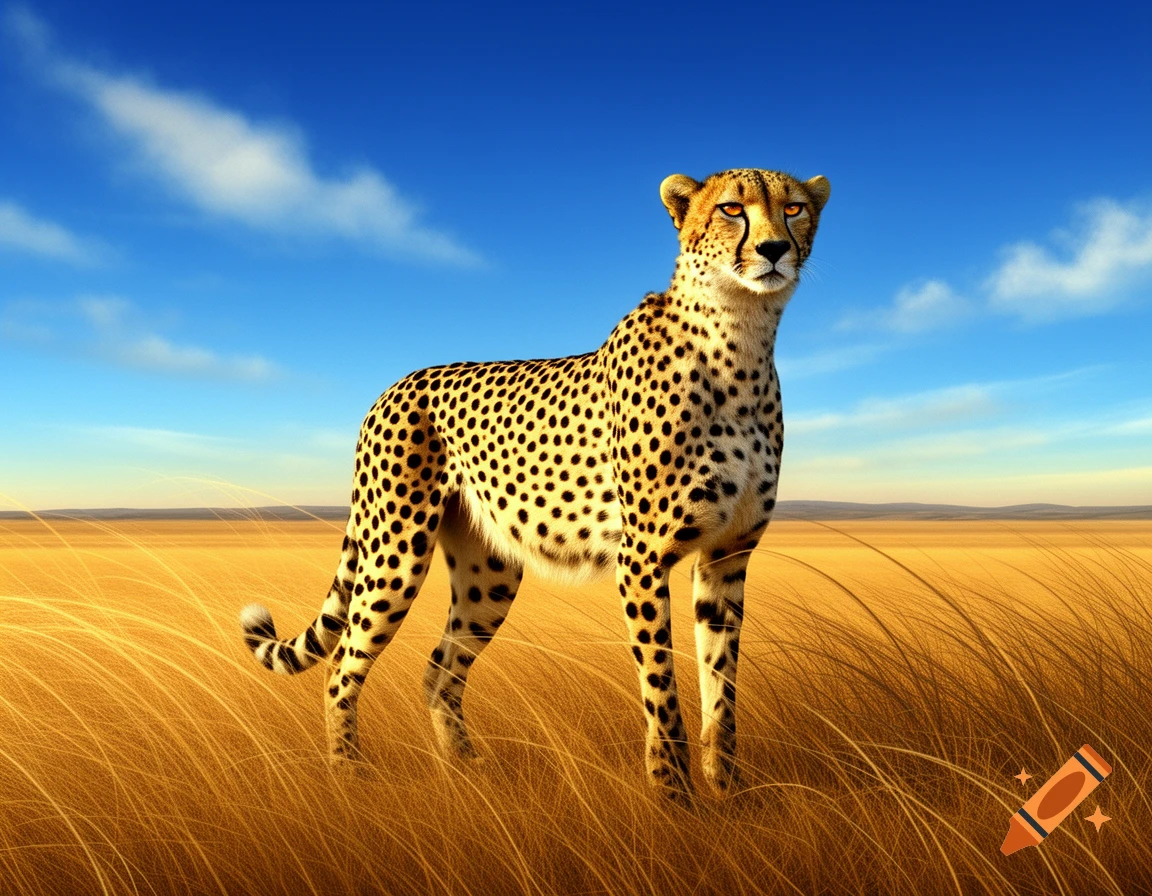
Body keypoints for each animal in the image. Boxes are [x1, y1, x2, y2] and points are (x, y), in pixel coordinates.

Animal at [240, 168, 830, 800]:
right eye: (731, 209)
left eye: (794, 208)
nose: (774, 249)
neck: (741, 336)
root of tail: (395, 384)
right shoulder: (642, 557)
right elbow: (660, 685)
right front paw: (673, 796)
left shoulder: (727, 554)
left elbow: (722, 688)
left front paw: (730, 793)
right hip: (395, 553)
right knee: (341, 665)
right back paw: (350, 776)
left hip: (488, 574)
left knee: (438, 668)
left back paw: (467, 771)